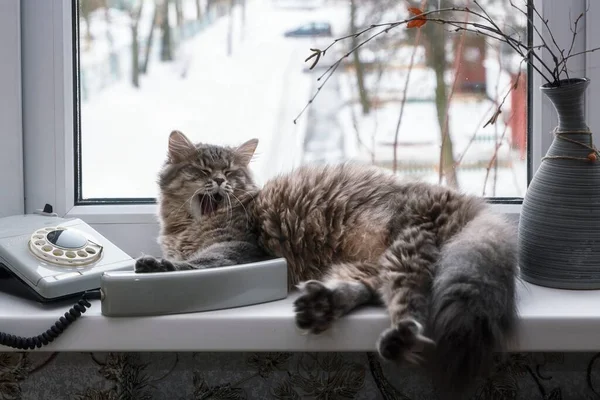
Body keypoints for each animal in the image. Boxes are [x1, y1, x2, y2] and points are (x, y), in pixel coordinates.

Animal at [137, 132, 520, 396]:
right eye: (202, 170)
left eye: (229, 172)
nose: (218, 181)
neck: (187, 227)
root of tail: (471, 203)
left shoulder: (238, 250)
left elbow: (194, 264)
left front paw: (156, 265)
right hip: (372, 265)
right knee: (368, 292)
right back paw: (320, 306)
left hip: (406, 250)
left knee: (414, 309)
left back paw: (396, 336)